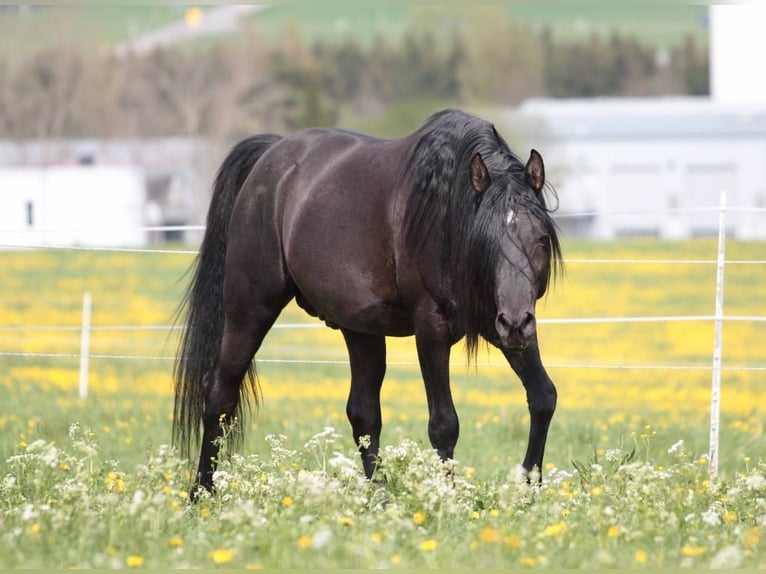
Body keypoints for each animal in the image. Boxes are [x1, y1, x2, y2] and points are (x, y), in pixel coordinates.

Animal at [174, 110, 564, 498]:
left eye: (541, 239)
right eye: (485, 240)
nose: (516, 323)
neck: (445, 213)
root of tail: (271, 155)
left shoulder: (501, 324)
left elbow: (543, 396)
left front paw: (531, 489)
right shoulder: (432, 330)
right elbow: (444, 424)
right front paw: (447, 499)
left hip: (359, 326)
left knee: (363, 414)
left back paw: (378, 496)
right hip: (250, 309)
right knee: (220, 394)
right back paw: (201, 493)